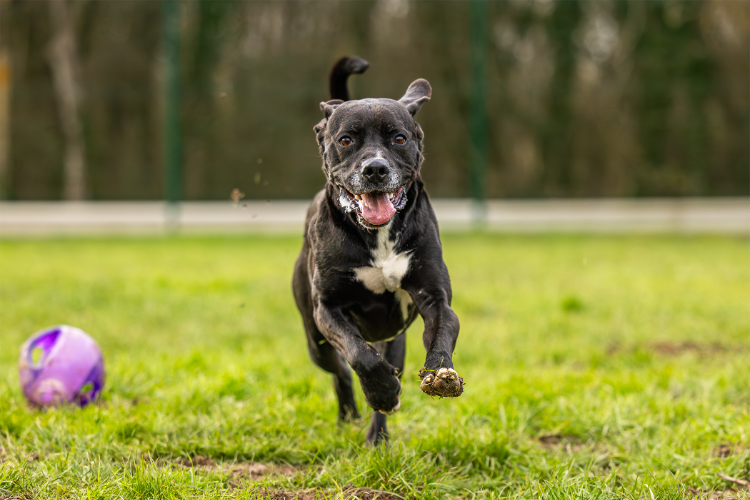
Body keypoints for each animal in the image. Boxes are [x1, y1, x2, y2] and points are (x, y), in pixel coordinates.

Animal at [293, 56, 464, 445]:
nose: (374, 168)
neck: (378, 236)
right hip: (314, 339)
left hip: (393, 340)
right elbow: (359, 355)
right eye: (345, 140)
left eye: (399, 138)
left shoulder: (434, 297)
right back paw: (350, 414)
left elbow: (443, 332)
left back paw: (377, 435)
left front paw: (441, 375)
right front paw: (383, 391)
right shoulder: (328, 308)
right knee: (340, 370)